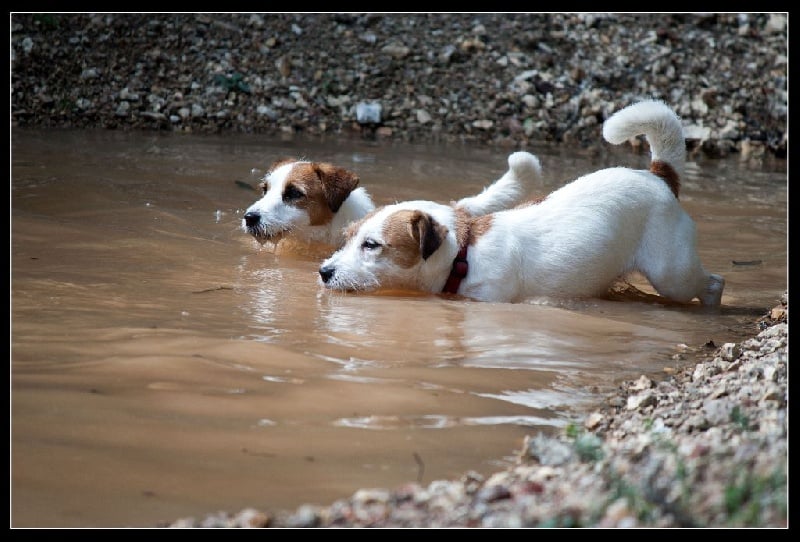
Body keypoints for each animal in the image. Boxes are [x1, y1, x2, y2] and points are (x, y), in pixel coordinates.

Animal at [318, 100, 724, 308]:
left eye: (372, 245)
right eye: (347, 237)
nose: (324, 271)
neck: (464, 254)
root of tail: (658, 176)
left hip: (671, 275)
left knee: (712, 283)